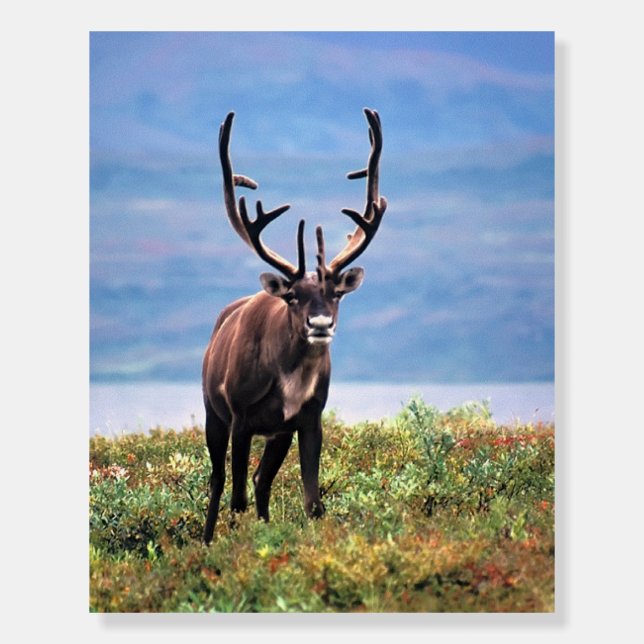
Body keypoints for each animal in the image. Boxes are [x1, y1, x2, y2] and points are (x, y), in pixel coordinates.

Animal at [202, 108, 387, 544]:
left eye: (336, 294)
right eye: (293, 296)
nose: (320, 323)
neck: (290, 378)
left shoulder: (307, 417)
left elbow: (313, 502)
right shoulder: (241, 417)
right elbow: (235, 499)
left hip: (277, 434)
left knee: (260, 481)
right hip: (213, 413)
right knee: (219, 483)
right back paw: (206, 539)